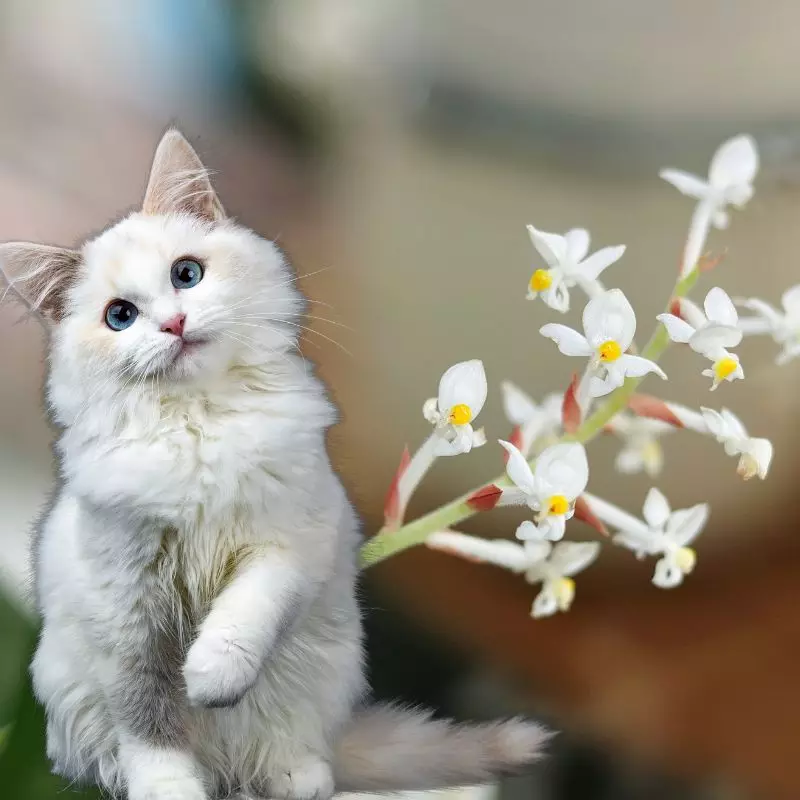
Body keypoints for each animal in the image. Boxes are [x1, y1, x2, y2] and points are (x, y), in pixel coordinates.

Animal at [0, 131, 548, 800]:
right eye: (120, 317)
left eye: (186, 274)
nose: (174, 323)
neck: (200, 424)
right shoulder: (125, 608)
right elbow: (148, 716)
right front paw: (170, 785)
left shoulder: (288, 543)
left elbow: (245, 615)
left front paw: (210, 677)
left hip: (321, 669)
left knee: (297, 749)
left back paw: (296, 775)